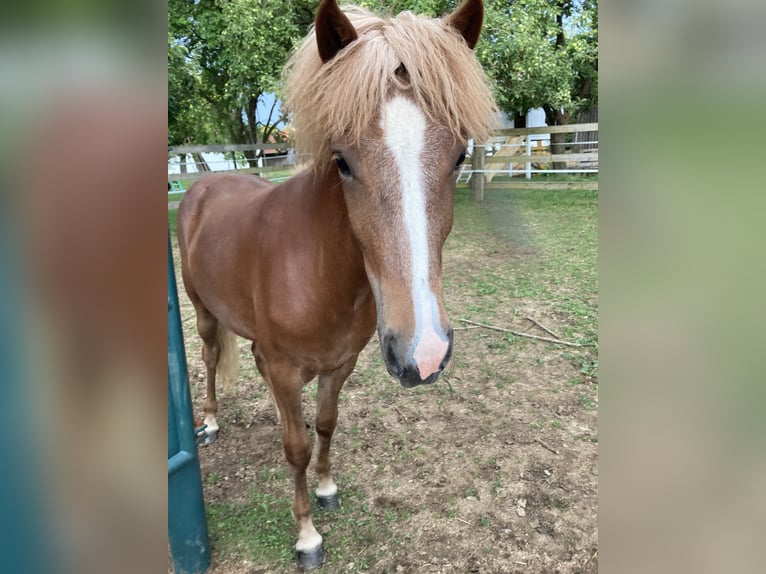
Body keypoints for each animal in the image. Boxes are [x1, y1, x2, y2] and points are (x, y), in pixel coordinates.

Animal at [177, 0, 496, 568]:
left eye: (460, 157)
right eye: (343, 161)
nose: (425, 352)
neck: (317, 270)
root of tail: (202, 184)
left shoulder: (339, 364)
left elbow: (325, 425)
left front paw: (325, 489)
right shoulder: (284, 370)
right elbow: (296, 447)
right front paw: (307, 535)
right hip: (205, 313)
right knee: (211, 357)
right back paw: (210, 423)